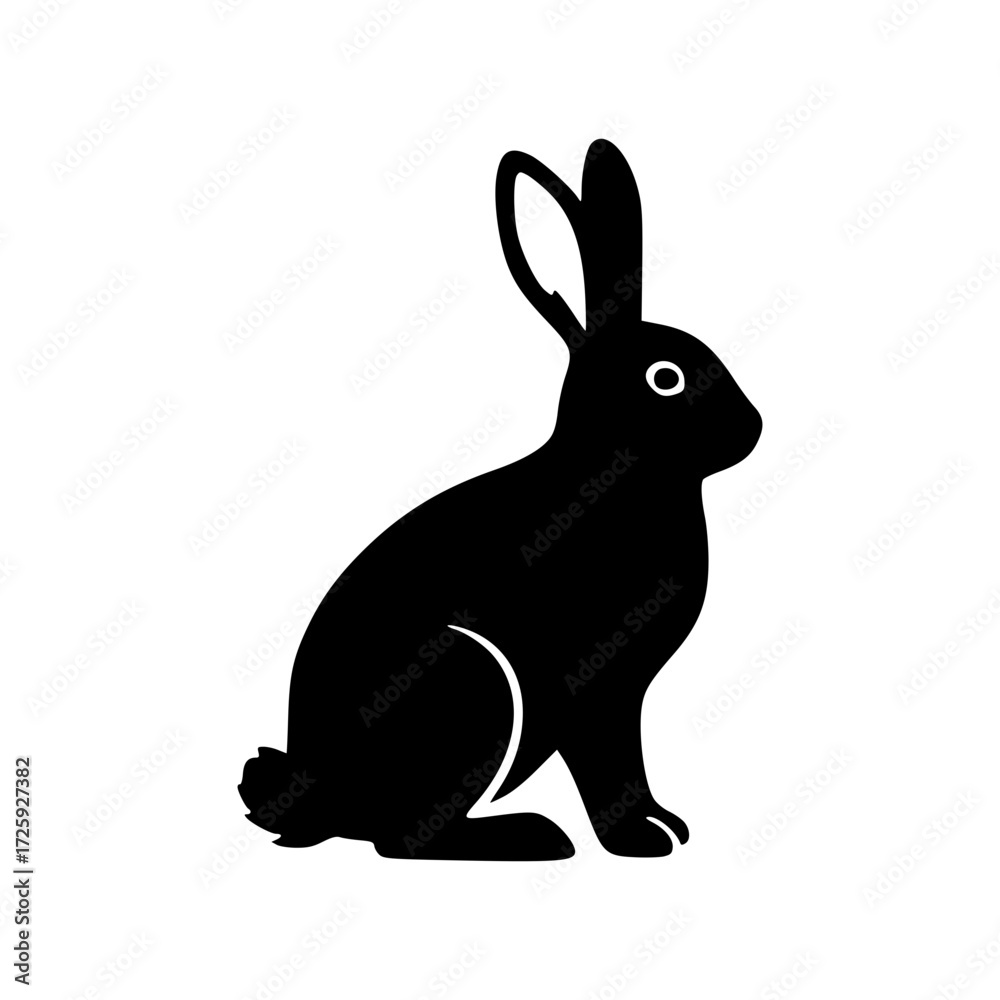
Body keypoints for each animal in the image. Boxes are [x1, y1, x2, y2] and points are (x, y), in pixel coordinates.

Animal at [239, 139, 762, 860]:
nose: (753, 428)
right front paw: (642, 838)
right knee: (405, 838)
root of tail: (322, 797)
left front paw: (666, 824)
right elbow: (609, 763)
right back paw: (530, 836)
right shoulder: (593, 690)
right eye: (666, 379)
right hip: (470, 682)